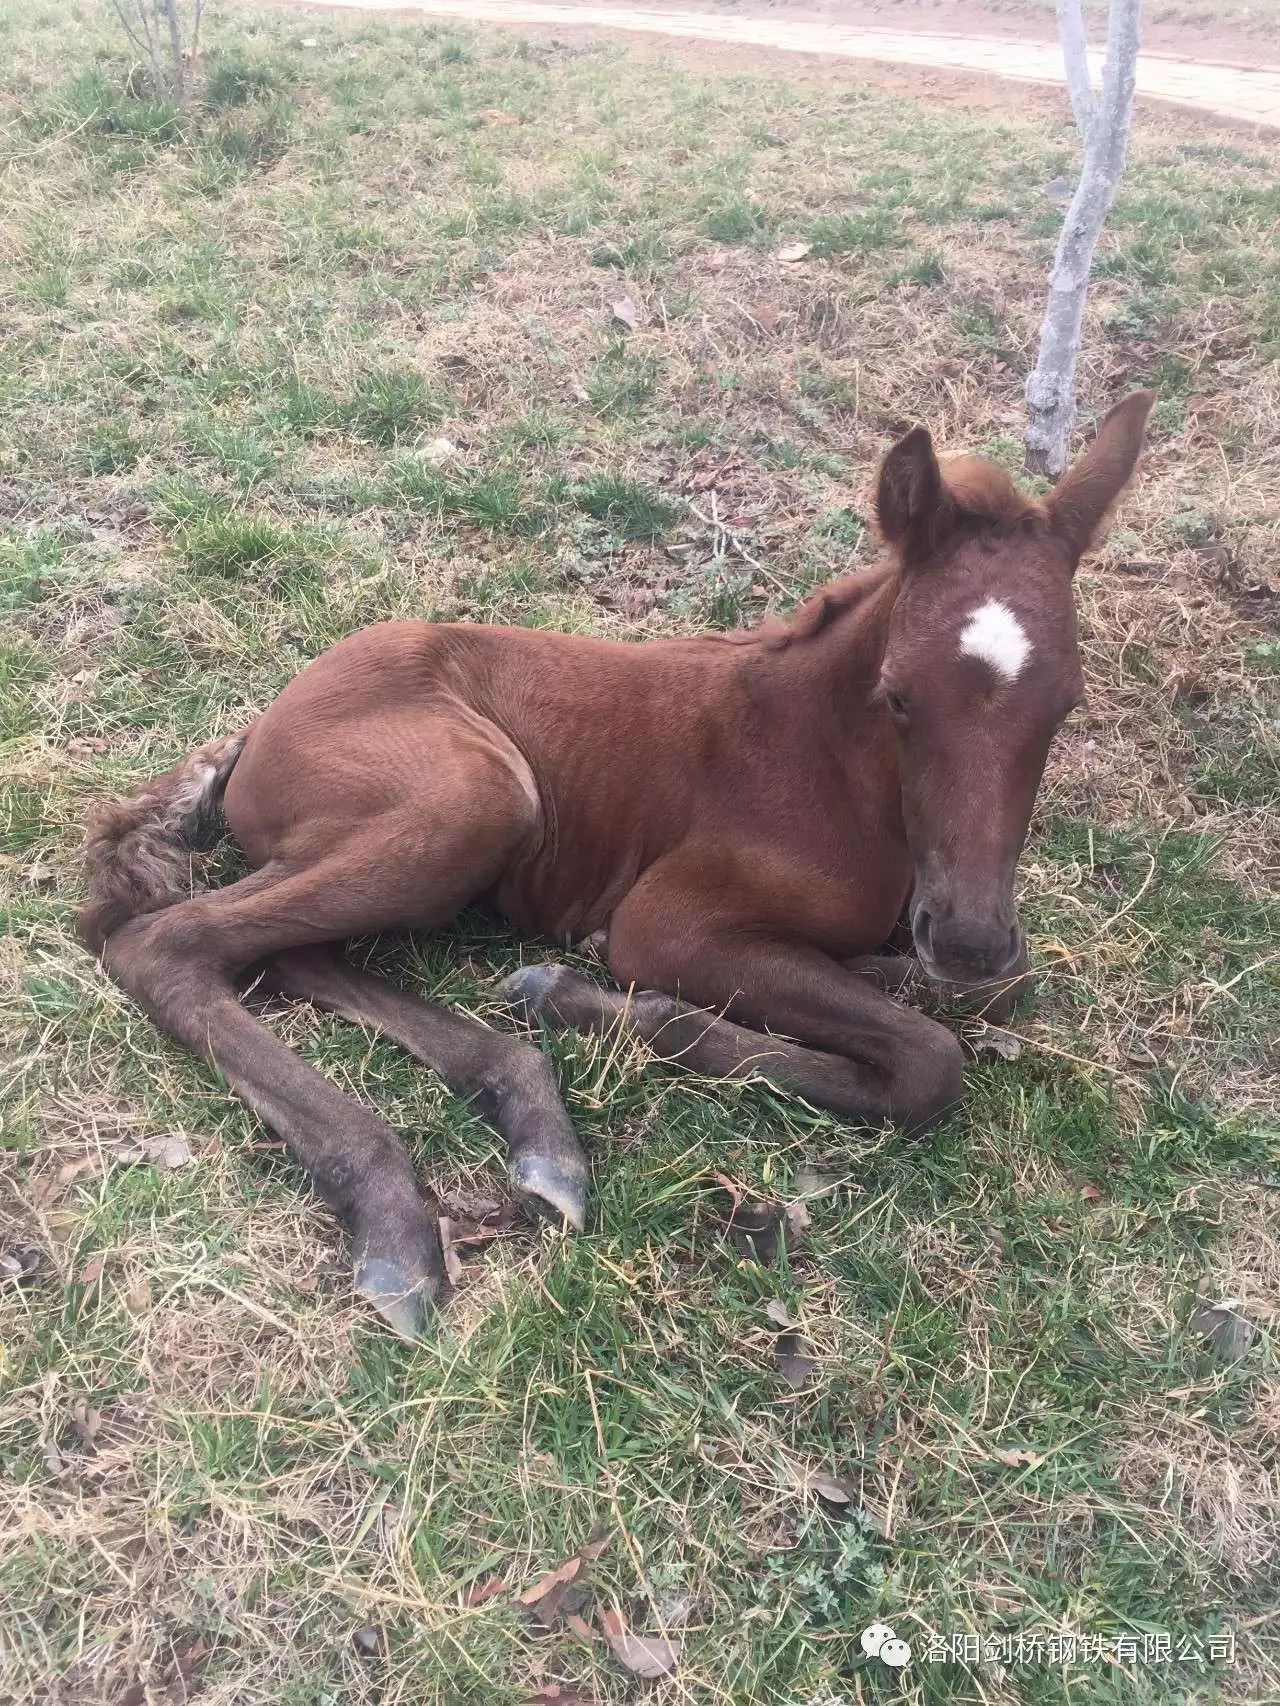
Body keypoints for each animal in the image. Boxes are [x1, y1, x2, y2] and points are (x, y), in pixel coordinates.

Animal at [82, 392, 1160, 1337]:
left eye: (1065, 702)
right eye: (898, 695)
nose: (969, 936)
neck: (828, 763)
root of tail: (259, 725)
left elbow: (997, 990)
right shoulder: (665, 923)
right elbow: (927, 1061)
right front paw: (607, 1005)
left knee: (286, 951)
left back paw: (532, 1120)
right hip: (478, 797)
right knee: (172, 942)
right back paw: (394, 1214)